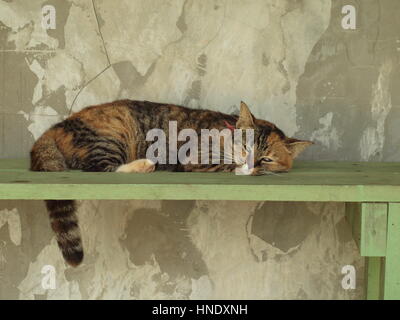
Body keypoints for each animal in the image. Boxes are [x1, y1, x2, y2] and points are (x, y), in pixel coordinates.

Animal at [30, 99, 312, 264]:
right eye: (245, 145)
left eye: (267, 158)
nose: (250, 163)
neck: (224, 130)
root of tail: (57, 126)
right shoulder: (196, 159)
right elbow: (226, 164)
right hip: (112, 135)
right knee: (100, 170)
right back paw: (144, 165)